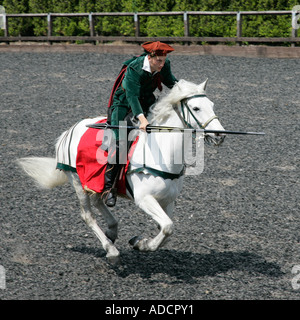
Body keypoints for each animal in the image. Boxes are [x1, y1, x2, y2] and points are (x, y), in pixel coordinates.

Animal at [17, 79, 225, 264]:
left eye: (212, 105)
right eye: (196, 108)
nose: (219, 135)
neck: (161, 151)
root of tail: (70, 131)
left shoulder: (168, 200)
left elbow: (166, 230)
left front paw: (140, 242)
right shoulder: (144, 198)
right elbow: (167, 227)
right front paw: (143, 244)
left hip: (95, 183)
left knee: (99, 201)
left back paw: (112, 230)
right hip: (77, 180)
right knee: (88, 215)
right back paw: (111, 250)